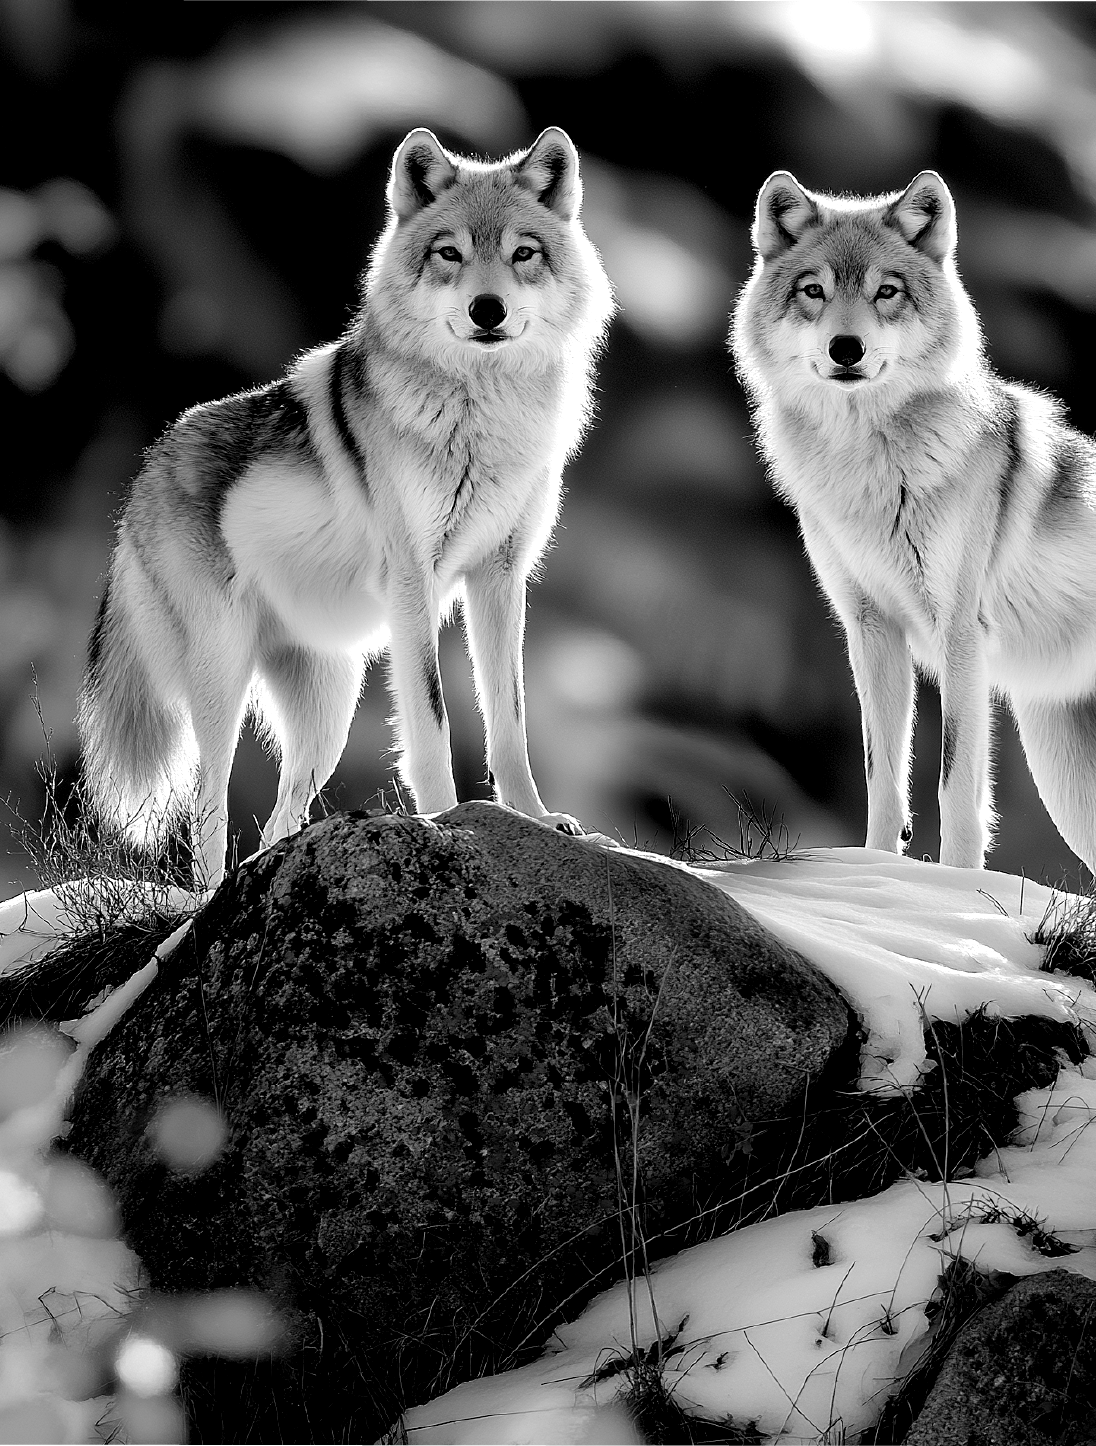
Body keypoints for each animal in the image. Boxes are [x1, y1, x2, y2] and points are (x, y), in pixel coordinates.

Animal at [79, 126, 614, 887]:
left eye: (523, 253)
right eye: (449, 252)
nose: (488, 310)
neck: (482, 416)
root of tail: (148, 465)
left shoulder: (500, 579)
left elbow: (509, 719)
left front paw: (537, 821)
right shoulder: (415, 582)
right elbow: (434, 719)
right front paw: (447, 822)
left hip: (330, 712)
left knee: (279, 822)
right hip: (221, 684)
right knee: (208, 809)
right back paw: (206, 902)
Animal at [732, 168, 1096, 873]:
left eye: (887, 291)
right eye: (814, 290)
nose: (846, 348)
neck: (867, 470)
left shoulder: (960, 635)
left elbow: (955, 787)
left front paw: (956, 889)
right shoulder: (871, 629)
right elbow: (883, 777)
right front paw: (876, 872)